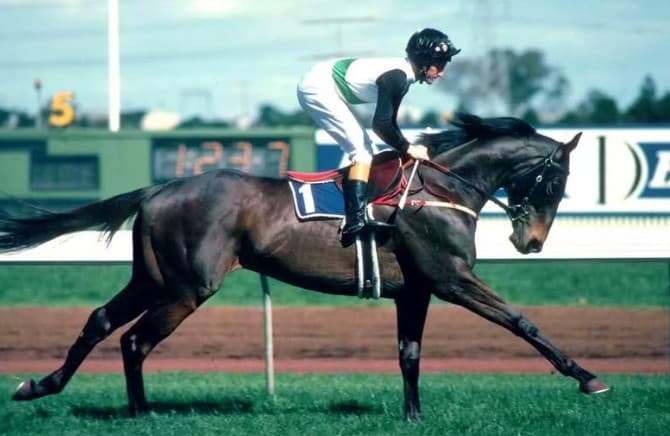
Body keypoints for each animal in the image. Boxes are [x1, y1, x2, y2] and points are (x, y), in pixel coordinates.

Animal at [1, 113, 609, 421]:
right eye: (555, 181)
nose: (531, 241)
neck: (436, 189)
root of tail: (160, 187)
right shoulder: (453, 279)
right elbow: (522, 321)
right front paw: (587, 377)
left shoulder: (415, 291)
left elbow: (409, 356)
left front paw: (413, 417)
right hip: (188, 285)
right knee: (134, 340)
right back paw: (140, 414)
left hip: (153, 277)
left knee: (102, 322)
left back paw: (40, 386)